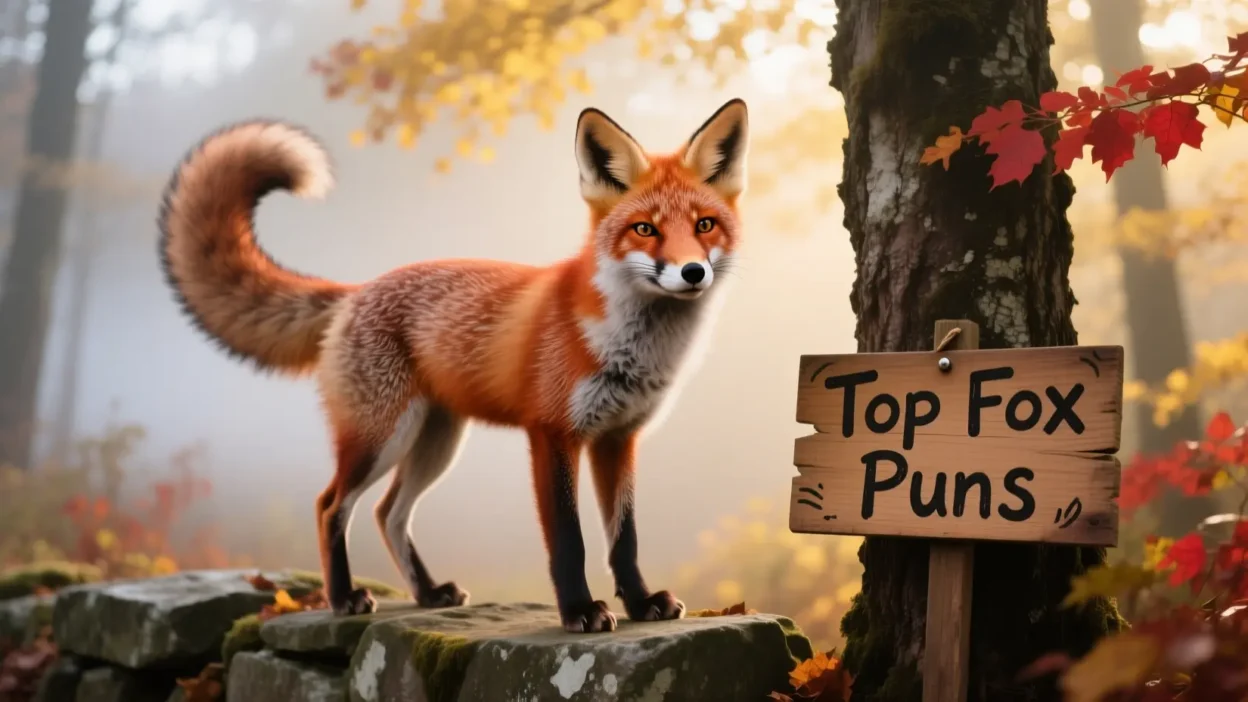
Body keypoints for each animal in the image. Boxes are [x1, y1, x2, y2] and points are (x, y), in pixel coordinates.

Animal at [157, 98, 749, 633]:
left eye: (705, 225)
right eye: (646, 229)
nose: (692, 272)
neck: (630, 346)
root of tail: (356, 290)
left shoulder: (617, 439)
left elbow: (624, 540)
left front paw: (641, 603)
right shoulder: (552, 434)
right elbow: (570, 541)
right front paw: (579, 612)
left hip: (436, 443)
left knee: (388, 513)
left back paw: (427, 592)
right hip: (381, 438)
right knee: (331, 506)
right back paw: (344, 597)